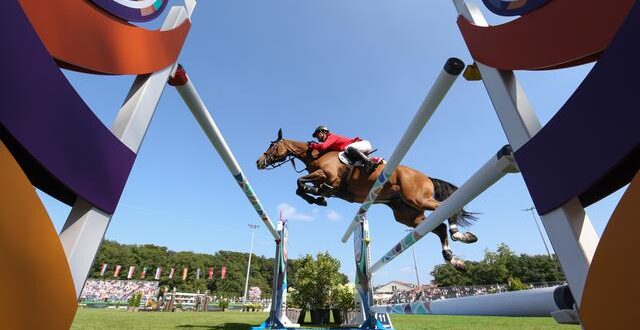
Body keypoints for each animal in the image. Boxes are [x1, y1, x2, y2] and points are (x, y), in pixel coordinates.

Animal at [258, 129, 478, 270]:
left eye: (272, 146)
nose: (258, 162)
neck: (316, 155)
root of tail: (426, 176)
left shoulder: (327, 176)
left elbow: (299, 182)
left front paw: (315, 196)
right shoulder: (328, 185)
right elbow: (301, 188)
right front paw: (317, 199)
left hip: (417, 198)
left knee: (446, 209)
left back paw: (461, 235)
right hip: (408, 215)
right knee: (438, 227)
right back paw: (455, 261)